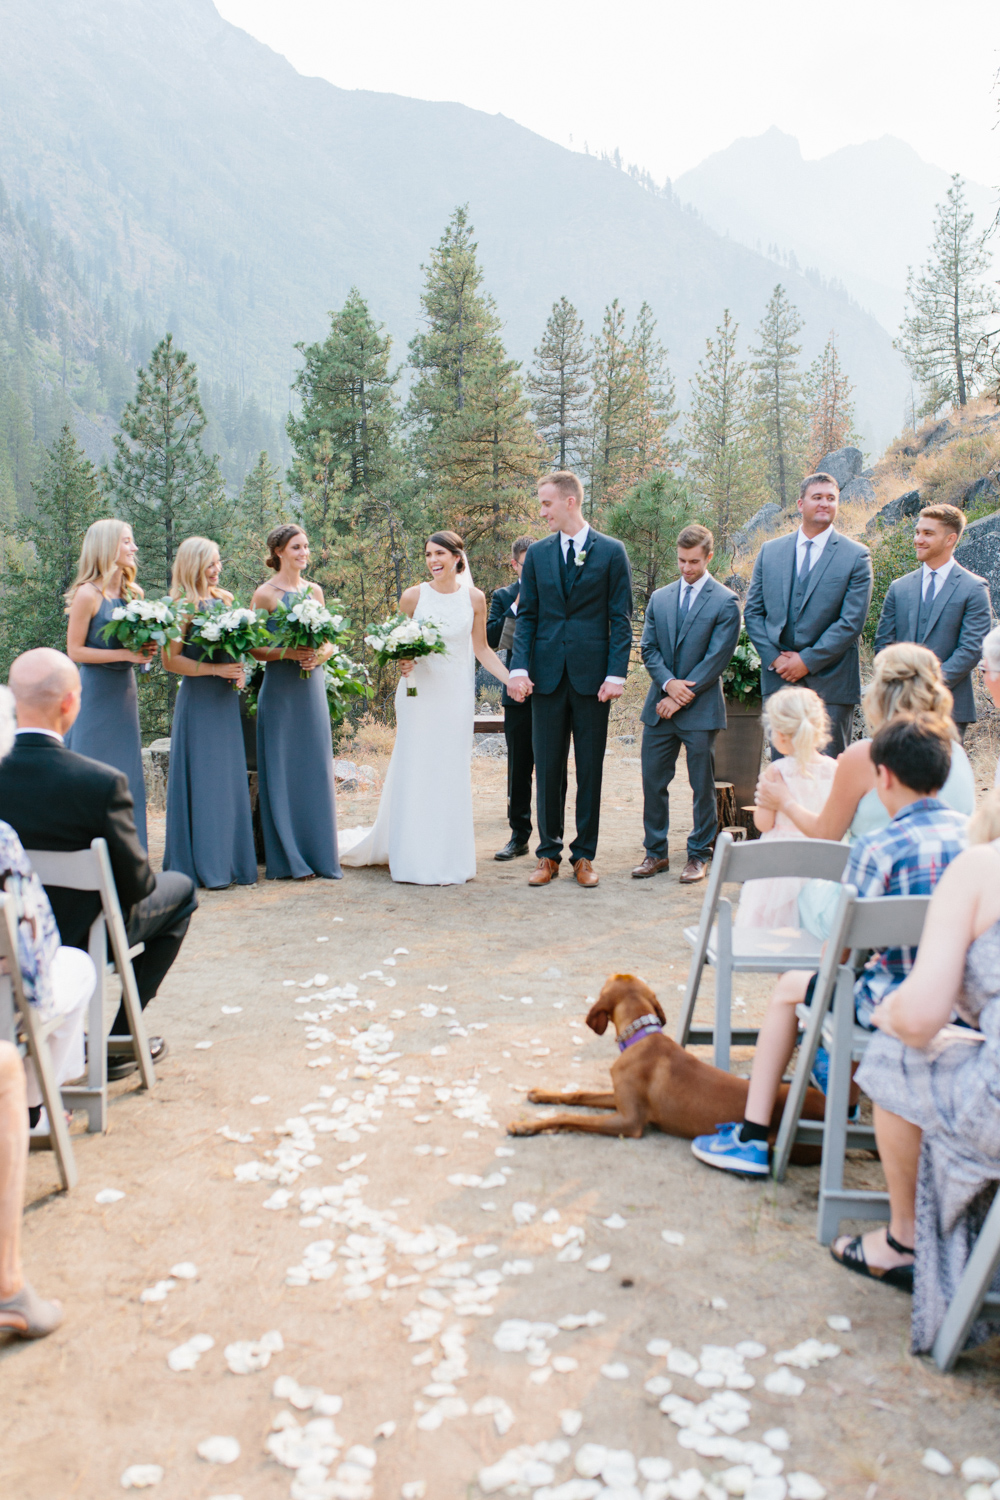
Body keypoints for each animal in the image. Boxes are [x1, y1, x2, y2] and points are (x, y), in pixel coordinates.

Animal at [512, 972, 827, 1146]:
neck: (642, 1037)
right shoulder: (619, 1099)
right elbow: (578, 1095)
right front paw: (541, 1094)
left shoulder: (629, 1122)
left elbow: (570, 1117)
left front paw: (525, 1126)